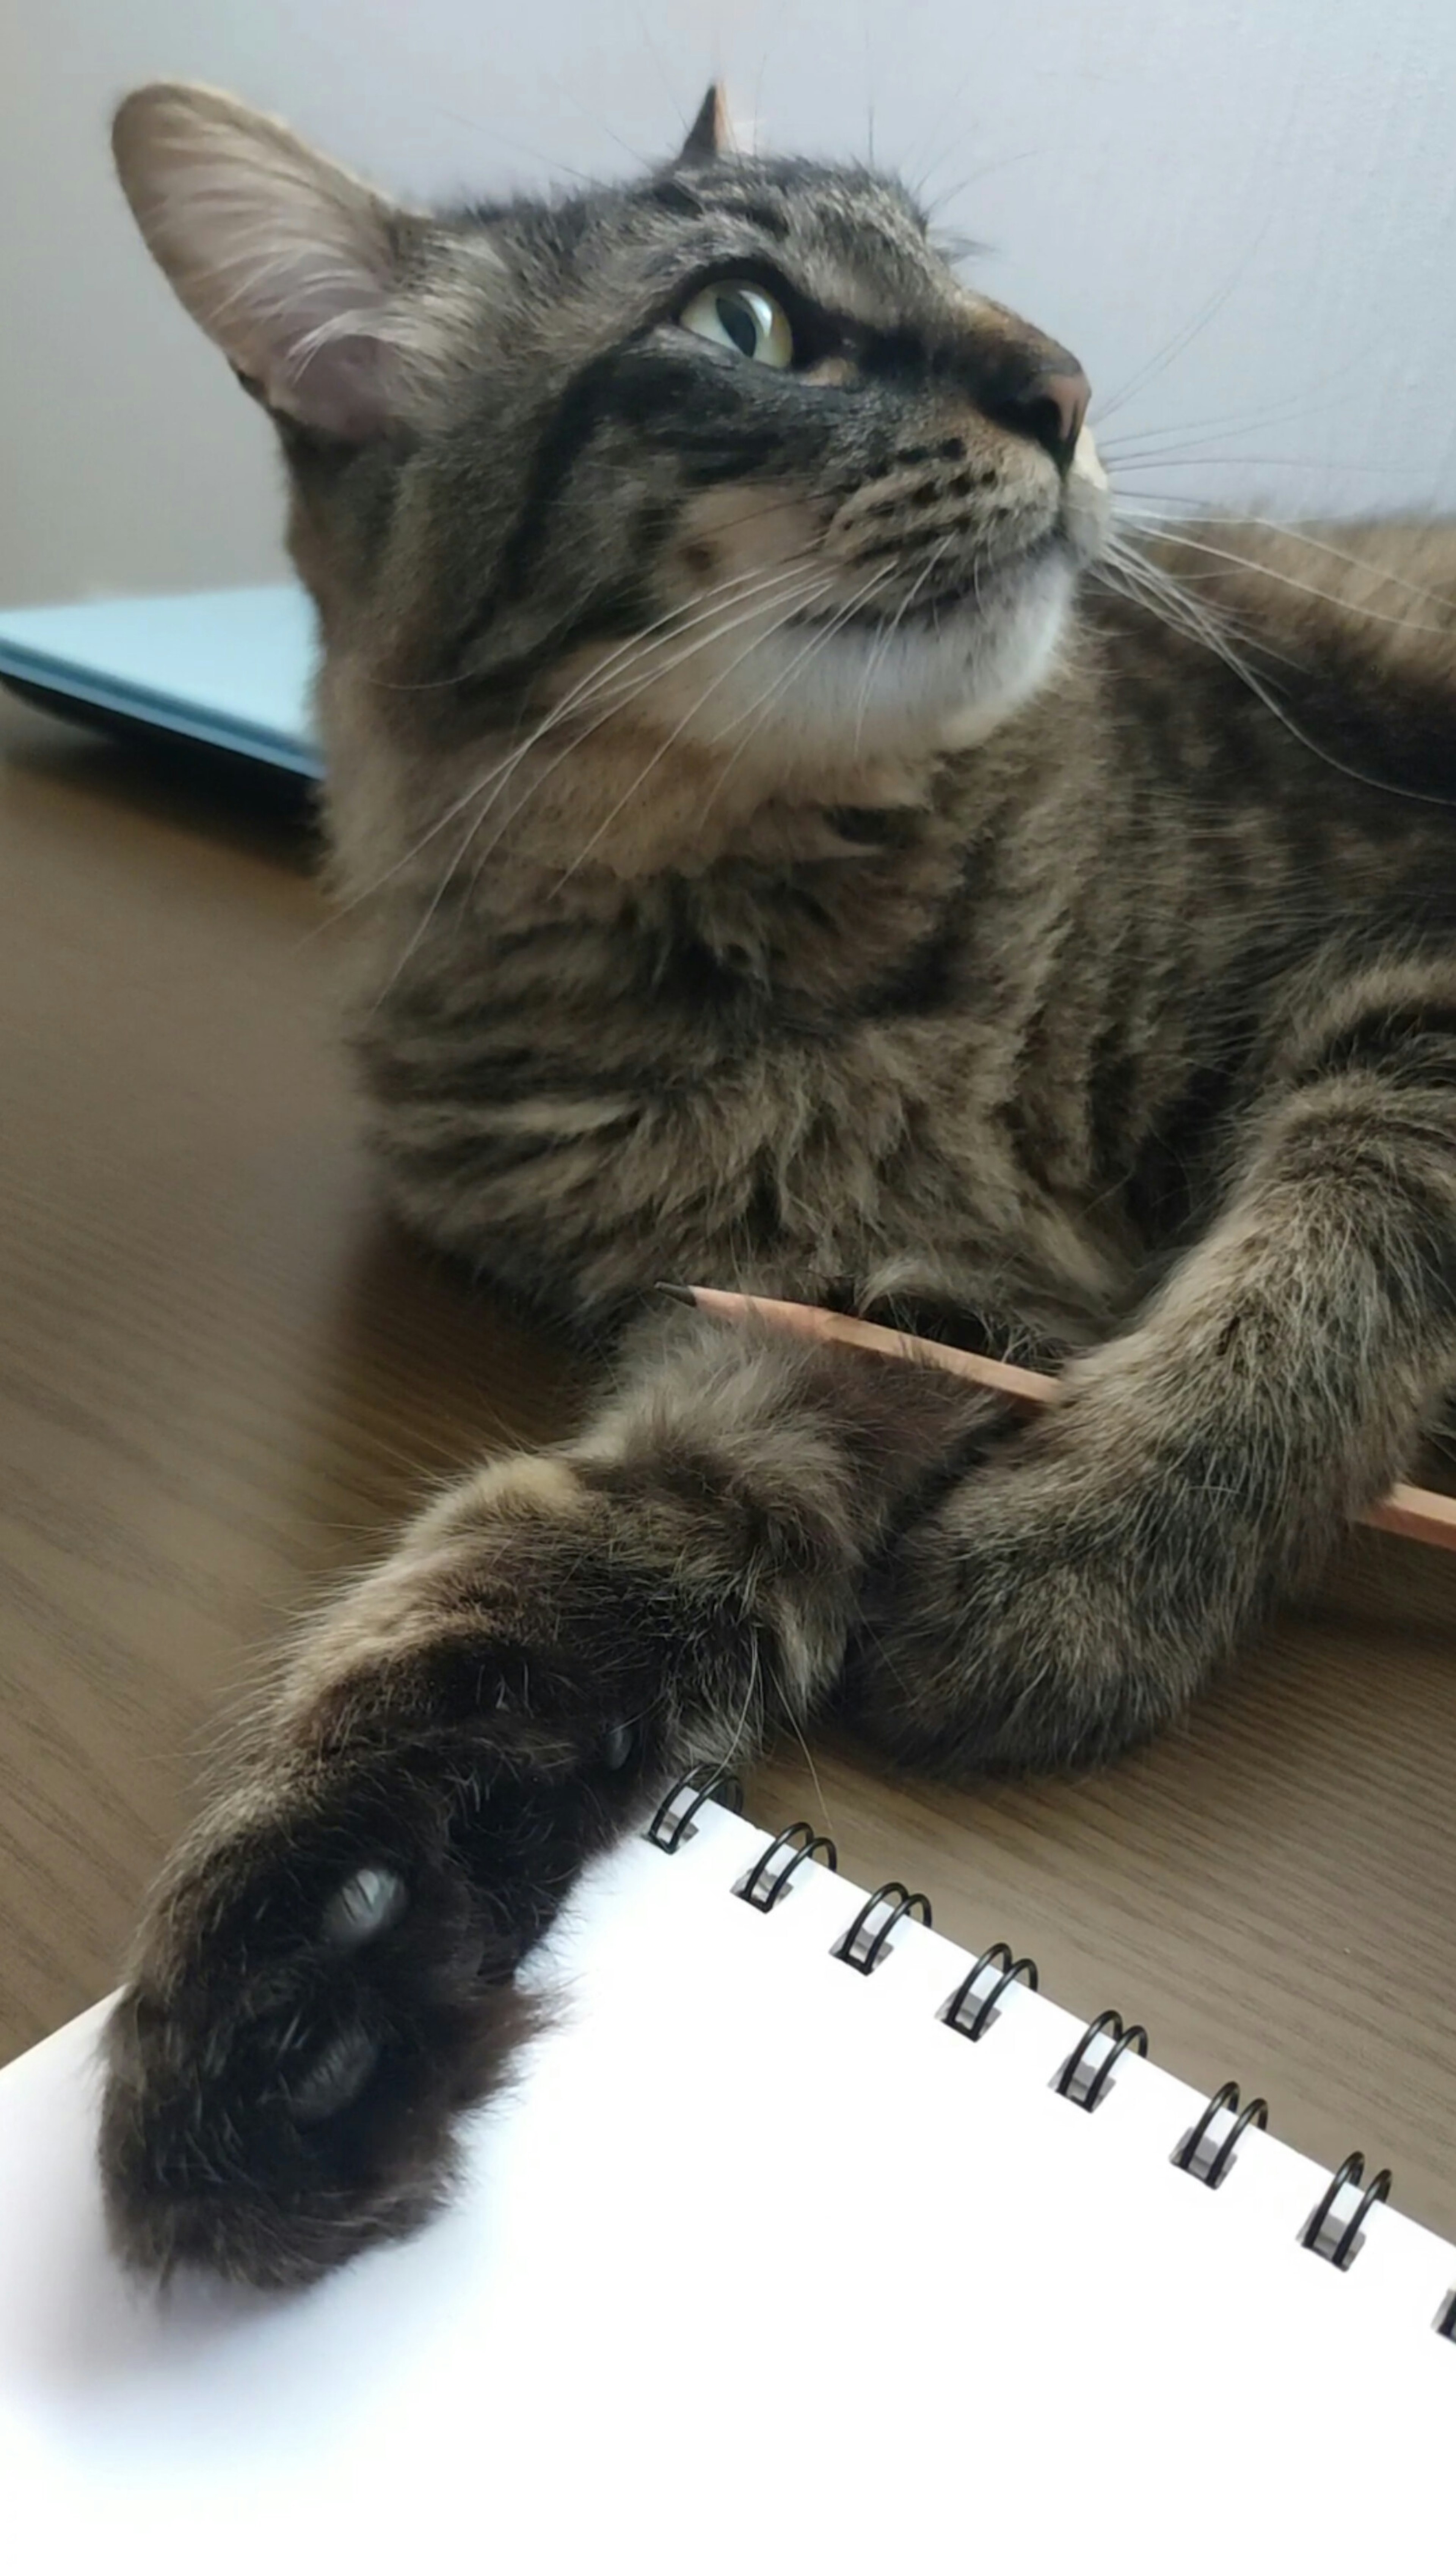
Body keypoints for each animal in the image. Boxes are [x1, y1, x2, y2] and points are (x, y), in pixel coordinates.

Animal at [103, 85, 1456, 2296]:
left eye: (957, 268)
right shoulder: (820, 1319)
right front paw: (316, 1959)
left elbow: (1313, 1269)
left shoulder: (1410, 979)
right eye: (744, 322)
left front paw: (1075, 1565)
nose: (1066, 384)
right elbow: (526, 1566)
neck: (763, 951)